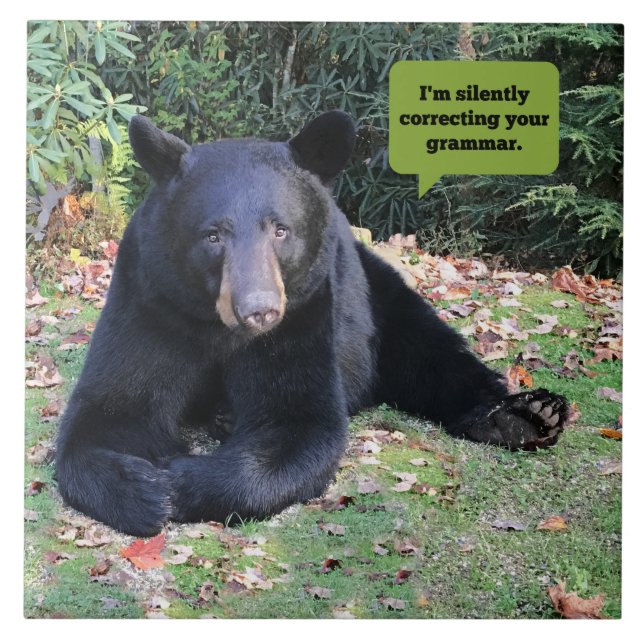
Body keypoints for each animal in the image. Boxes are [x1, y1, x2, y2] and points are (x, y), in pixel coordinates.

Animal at [55, 111, 568, 537]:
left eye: (281, 229)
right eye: (212, 235)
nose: (258, 309)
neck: (222, 330)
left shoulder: (304, 313)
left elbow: (298, 422)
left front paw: (180, 481)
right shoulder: (153, 300)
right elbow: (113, 409)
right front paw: (144, 487)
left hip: (373, 294)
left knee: (428, 347)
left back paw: (524, 415)